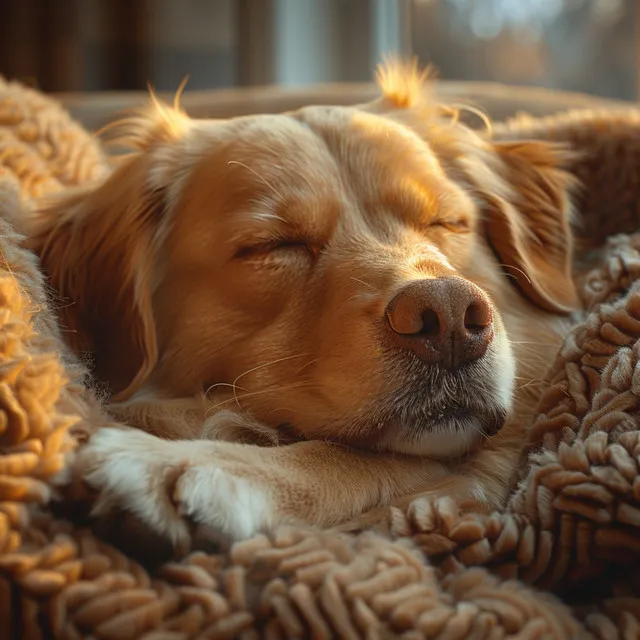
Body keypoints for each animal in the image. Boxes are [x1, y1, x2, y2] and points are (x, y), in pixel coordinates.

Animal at [21, 63, 580, 552]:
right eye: (275, 244)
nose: (447, 315)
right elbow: (350, 453)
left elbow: (350, 457)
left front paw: (185, 466)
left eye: (445, 222)